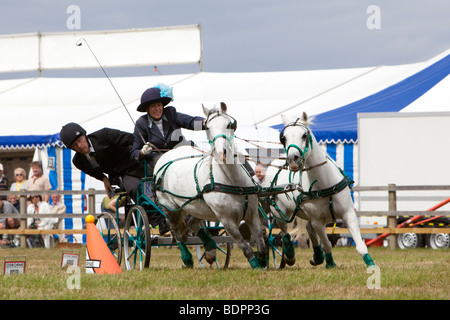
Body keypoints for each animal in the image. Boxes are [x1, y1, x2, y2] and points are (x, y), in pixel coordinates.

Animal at [153, 102, 268, 268]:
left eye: (229, 124)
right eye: (207, 127)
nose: (221, 153)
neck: (232, 181)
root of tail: (166, 155)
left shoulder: (253, 215)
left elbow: (262, 244)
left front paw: (263, 260)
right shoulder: (227, 220)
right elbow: (244, 245)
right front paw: (255, 264)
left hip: (195, 207)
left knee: (191, 223)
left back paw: (210, 249)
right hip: (170, 207)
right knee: (175, 232)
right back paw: (187, 258)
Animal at [264, 112, 372, 268]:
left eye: (304, 135)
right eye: (284, 137)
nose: (293, 159)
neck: (323, 183)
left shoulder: (348, 213)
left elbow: (360, 245)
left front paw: (371, 265)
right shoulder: (318, 222)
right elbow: (326, 244)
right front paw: (330, 263)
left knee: (307, 229)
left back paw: (317, 257)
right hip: (278, 212)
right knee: (285, 233)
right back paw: (289, 255)